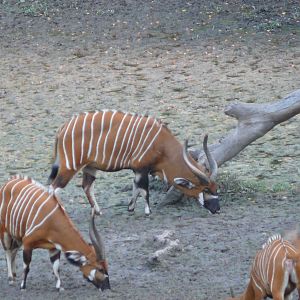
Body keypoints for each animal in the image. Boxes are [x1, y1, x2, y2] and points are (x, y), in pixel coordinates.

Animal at [48, 110, 219, 216]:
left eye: (215, 188)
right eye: (206, 189)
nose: (217, 209)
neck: (162, 143)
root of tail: (62, 128)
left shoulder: (137, 170)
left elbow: (136, 188)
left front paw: (131, 207)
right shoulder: (142, 168)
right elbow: (144, 189)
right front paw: (148, 211)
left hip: (90, 168)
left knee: (86, 186)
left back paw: (98, 211)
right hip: (70, 167)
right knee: (54, 187)